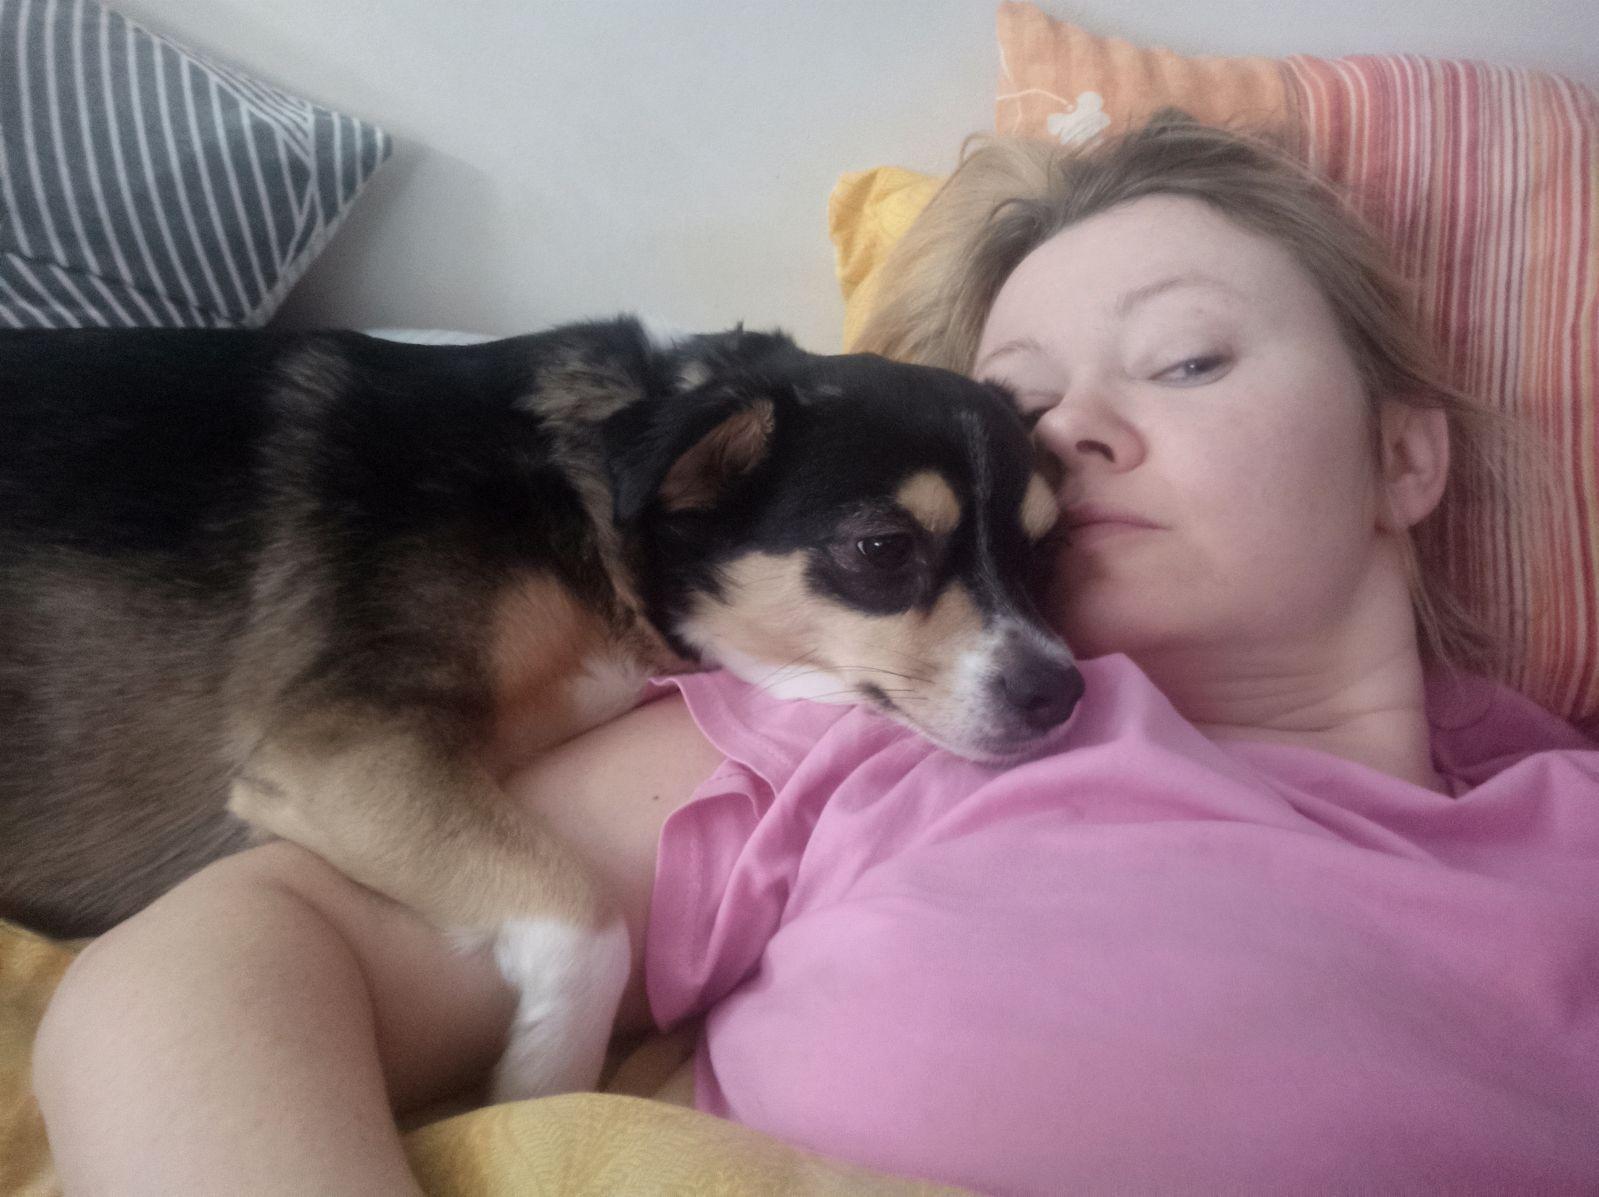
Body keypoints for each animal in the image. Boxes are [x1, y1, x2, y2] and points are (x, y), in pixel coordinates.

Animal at [0, 318, 1081, 1097]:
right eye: (881, 550)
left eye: (1040, 551)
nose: (1063, 691)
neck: (598, 506)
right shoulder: (337, 745)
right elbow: (586, 925)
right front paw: (539, 1084)